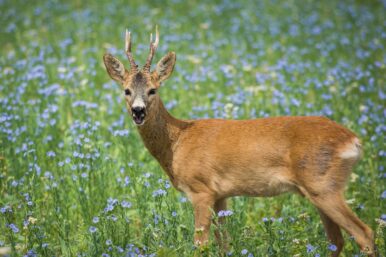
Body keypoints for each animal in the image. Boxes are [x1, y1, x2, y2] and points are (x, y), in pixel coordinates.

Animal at [104, 27, 376, 255]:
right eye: (127, 90)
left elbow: (200, 245)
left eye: (153, 90)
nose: (138, 111)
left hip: (323, 184)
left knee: (364, 233)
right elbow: (224, 243)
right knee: (336, 241)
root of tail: (353, 140)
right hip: (319, 189)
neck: (177, 142)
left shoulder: (201, 189)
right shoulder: (220, 194)